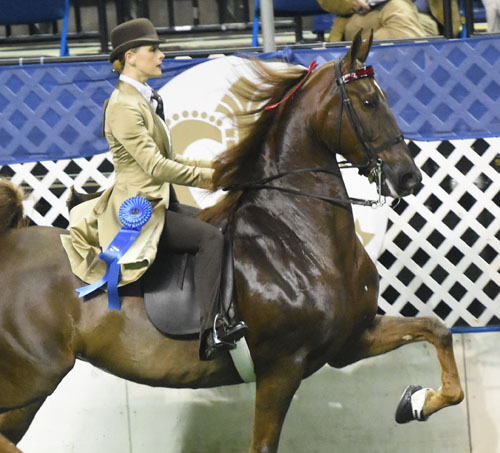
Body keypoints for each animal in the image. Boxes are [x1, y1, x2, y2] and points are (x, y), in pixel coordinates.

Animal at [0, 32, 464, 452]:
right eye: (369, 101)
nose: (408, 177)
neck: (300, 237)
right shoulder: (282, 366)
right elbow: (262, 445)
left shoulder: (350, 340)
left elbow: (437, 331)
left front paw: (416, 402)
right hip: (33, 378)